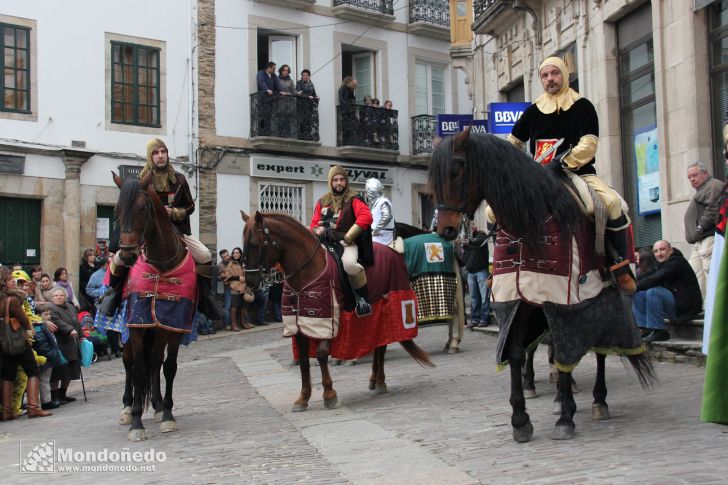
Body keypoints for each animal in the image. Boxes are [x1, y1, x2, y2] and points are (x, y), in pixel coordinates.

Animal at [111, 172, 191, 440]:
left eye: (143, 208)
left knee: (155, 363)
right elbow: (137, 369)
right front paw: (137, 423)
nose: (126, 255)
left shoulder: (172, 325)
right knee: (129, 363)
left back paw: (156, 406)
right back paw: (127, 408)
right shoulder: (136, 325)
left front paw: (167, 414)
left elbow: (168, 367)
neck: (161, 265)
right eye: (116, 209)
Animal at [242, 210, 432, 410]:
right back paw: (374, 379)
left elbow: (321, 354)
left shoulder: (325, 318)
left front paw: (329, 394)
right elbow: (304, 361)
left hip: (388, 303)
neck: (308, 268)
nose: (251, 282)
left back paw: (380, 382)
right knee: (378, 342)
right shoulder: (299, 322)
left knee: (382, 344)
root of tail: (394, 252)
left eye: (254, 243)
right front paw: (303, 398)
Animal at [430, 130, 656, 442]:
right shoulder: (518, 302)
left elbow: (563, 350)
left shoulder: (564, 303)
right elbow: (516, 351)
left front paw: (566, 417)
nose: (445, 230)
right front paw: (520, 419)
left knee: (599, 347)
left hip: (606, 297)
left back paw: (598, 400)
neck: (527, 227)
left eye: (456, 170)